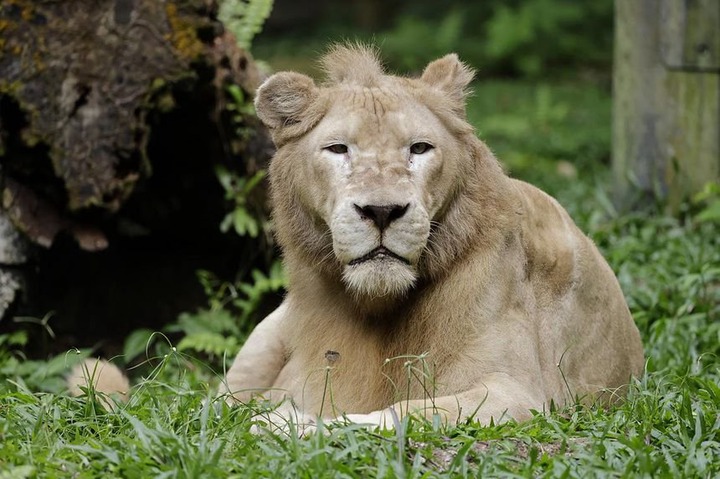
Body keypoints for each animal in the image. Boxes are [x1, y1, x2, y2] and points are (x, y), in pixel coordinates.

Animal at [219, 44, 645, 429]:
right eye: (338, 149)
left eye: (420, 148)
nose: (382, 211)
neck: (379, 305)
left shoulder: (522, 394)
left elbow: (405, 412)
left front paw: (296, 423)